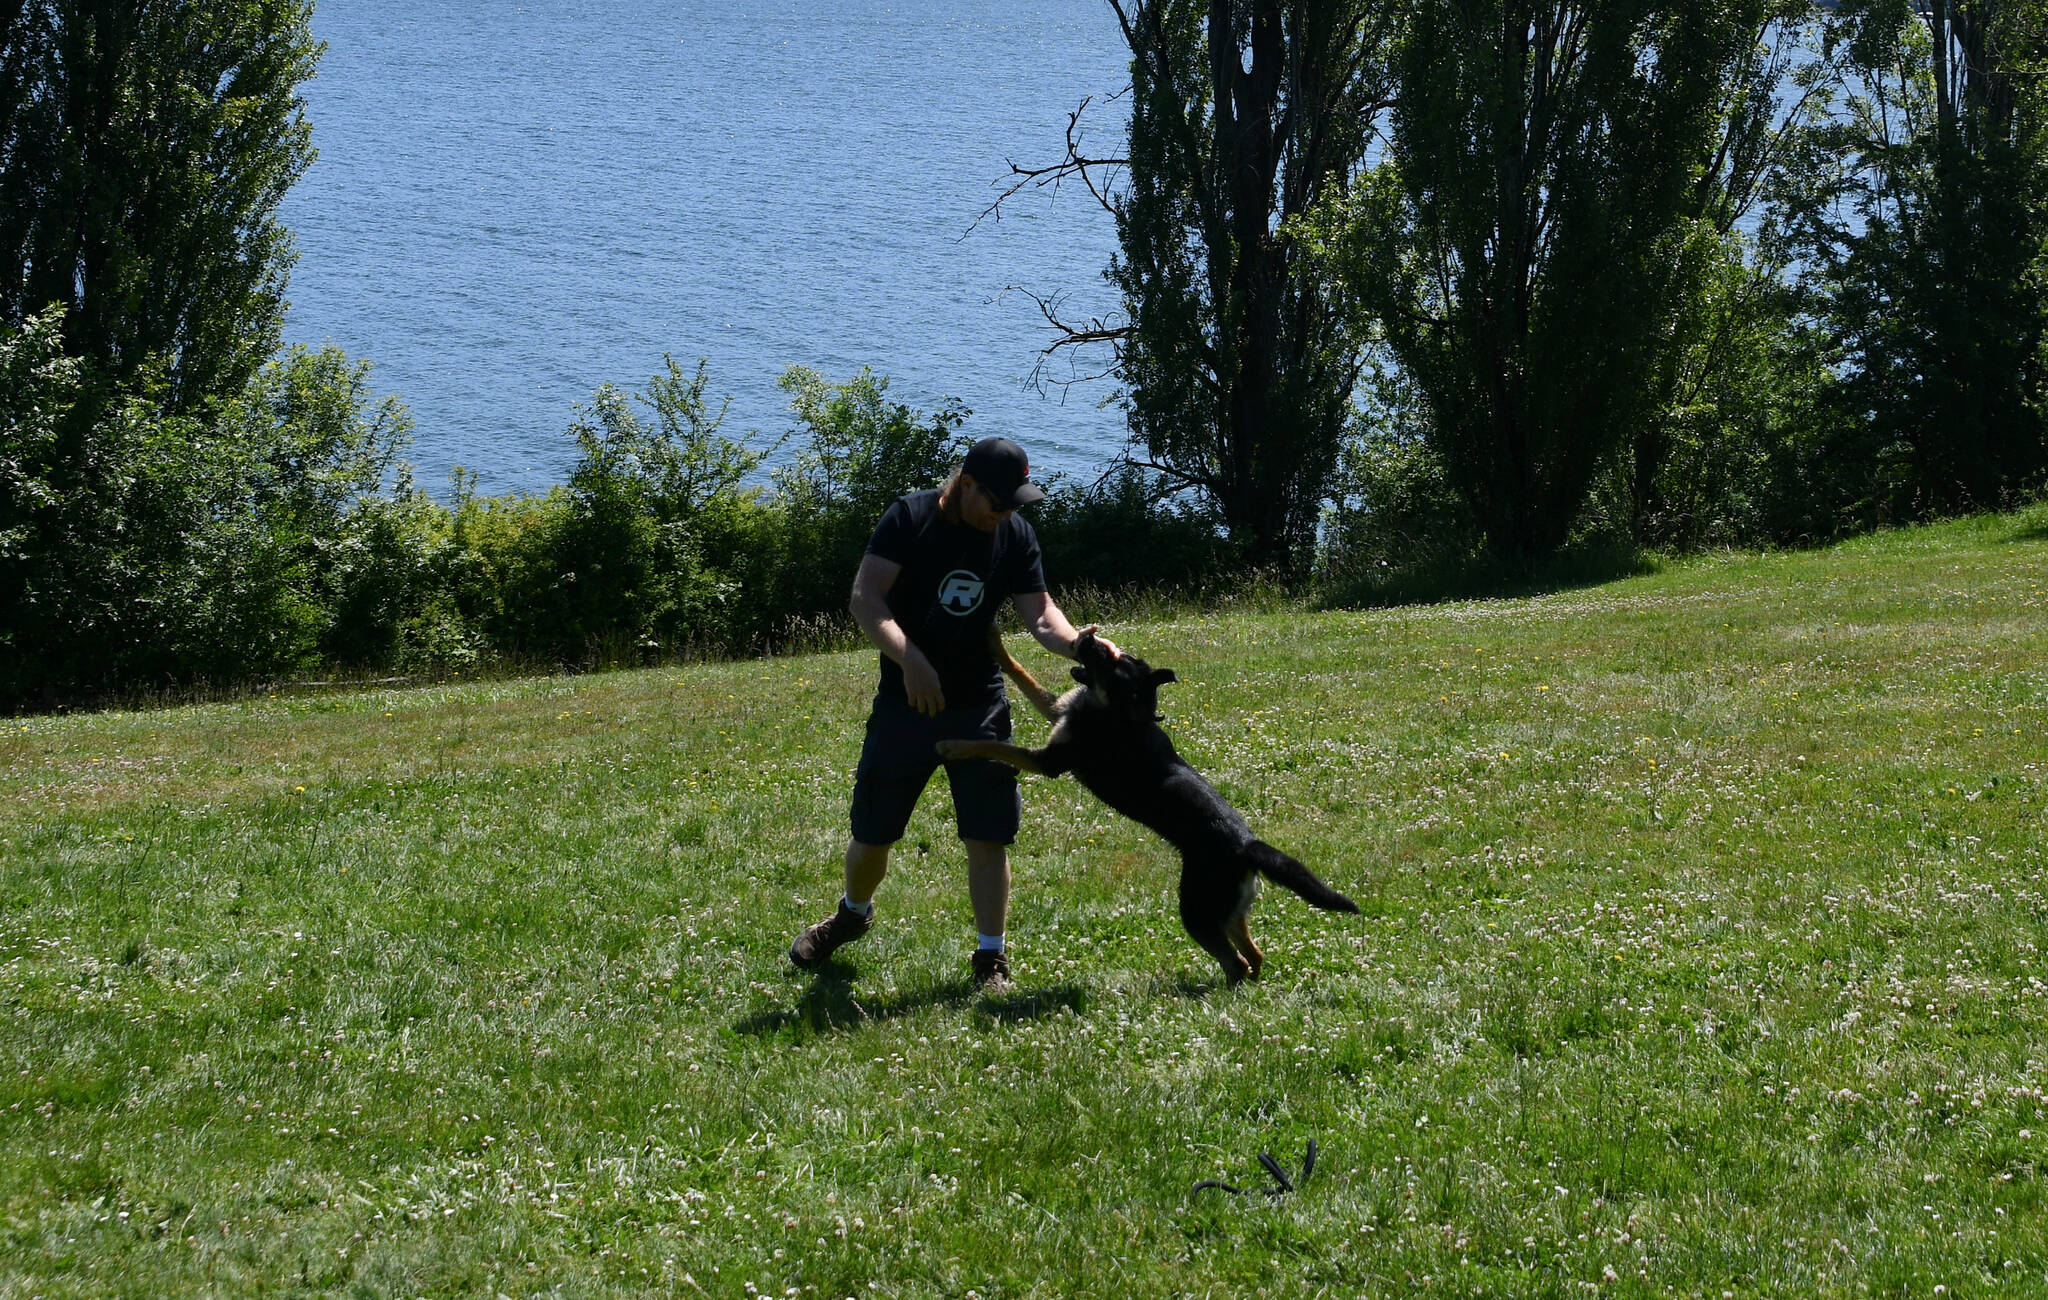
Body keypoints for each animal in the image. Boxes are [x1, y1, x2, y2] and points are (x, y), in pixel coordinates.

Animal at [933, 634, 1351, 986]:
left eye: (1114, 660)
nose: (1087, 638)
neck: (1117, 710)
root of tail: (1246, 844)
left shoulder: (1049, 760)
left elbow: (992, 746)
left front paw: (951, 746)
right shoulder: (1057, 711)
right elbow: (1024, 675)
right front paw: (994, 641)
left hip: (1196, 910)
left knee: (1237, 962)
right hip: (1228, 910)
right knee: (1255, 955)